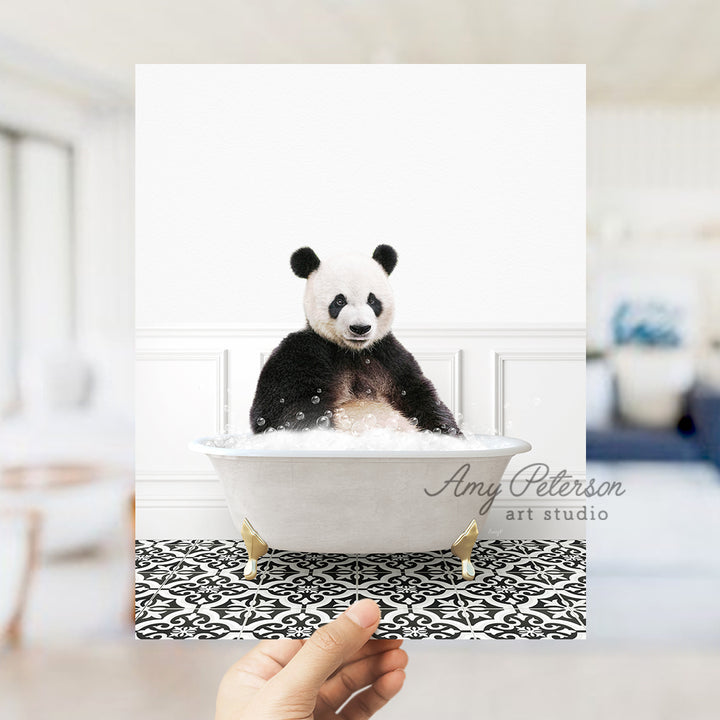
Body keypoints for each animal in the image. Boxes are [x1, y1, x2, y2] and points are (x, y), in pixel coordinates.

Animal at [249, 245, 462, 436]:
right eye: (339, 301)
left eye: (372, 300)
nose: (360, 328)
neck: (353, 352)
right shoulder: (304, 352)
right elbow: (283, 409)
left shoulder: (389, 357)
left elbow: (419, 396)